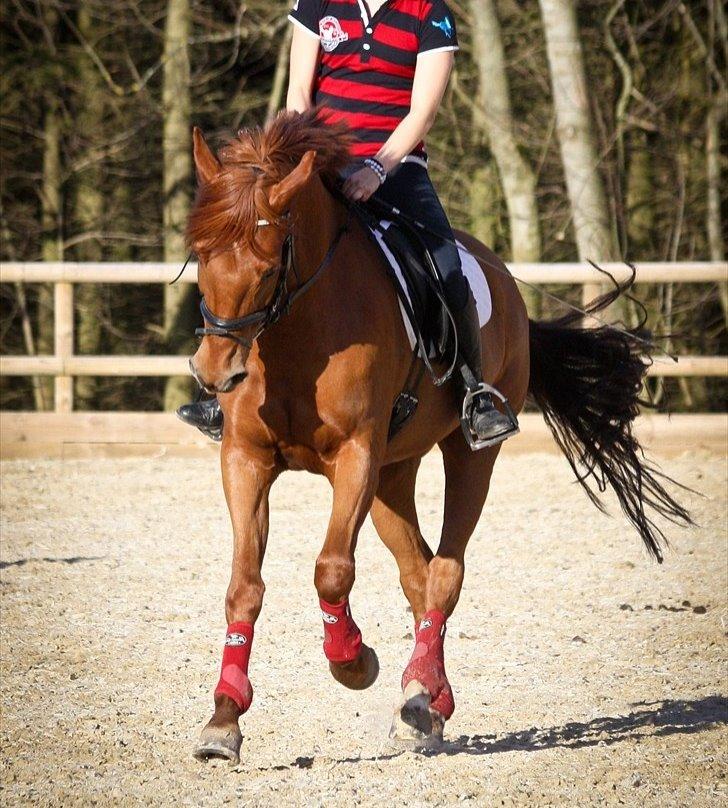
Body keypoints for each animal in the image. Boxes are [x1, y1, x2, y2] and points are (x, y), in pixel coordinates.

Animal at [185, 109, 690, 763]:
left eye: (269, 268)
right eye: (199, 254)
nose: (214, 372)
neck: (298, 335)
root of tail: (504, 277)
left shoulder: (355, 456)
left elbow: (332, 570)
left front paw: (354, 663)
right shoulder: (246, 458)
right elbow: (244, 585)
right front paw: (223, 720)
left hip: (467, 455)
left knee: (446, 572)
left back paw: (420, 695)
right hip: (391, 477)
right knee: (418, 575)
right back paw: (429, 696)